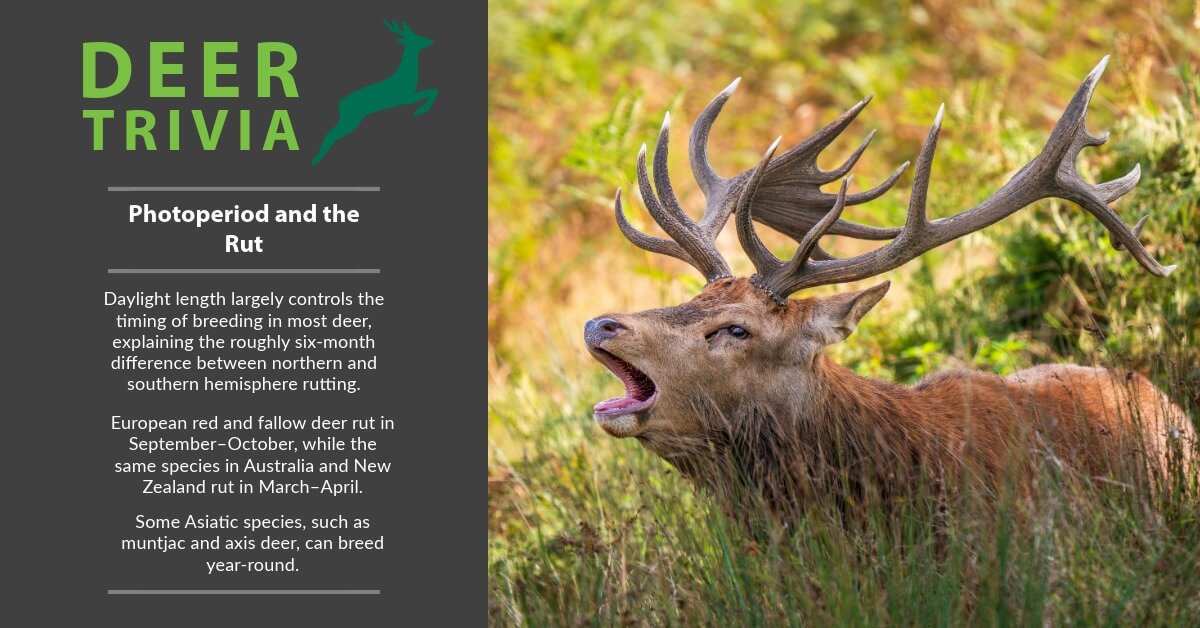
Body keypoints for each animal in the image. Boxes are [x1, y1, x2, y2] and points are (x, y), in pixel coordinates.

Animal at [311, 19, 438, 165]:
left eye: (418, 35)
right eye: (415, 38)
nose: (430, 40)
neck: (407, 77)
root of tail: (340, 105)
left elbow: (434, 90)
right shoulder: (406, 98)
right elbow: (433, 91)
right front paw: (419, 111)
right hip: (351, 119)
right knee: (331, 134)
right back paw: (316, 159)